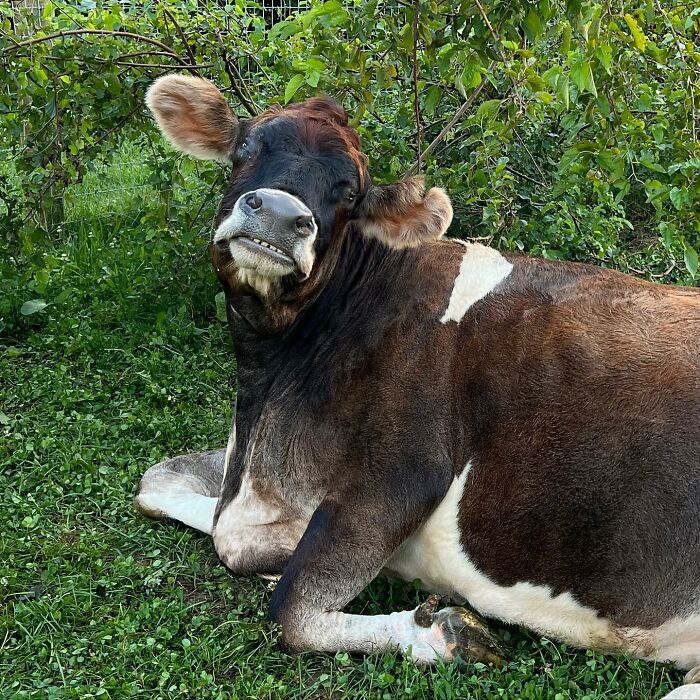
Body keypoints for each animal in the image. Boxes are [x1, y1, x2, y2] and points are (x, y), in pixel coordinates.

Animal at [133, 74, 700, 696]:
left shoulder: (403, 473)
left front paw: (445, 634)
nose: (281, 216)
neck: (268, 389)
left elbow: (284, 604)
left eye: (350, 194)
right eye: (245, 147)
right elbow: (160, 485)